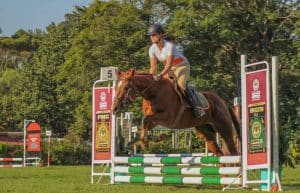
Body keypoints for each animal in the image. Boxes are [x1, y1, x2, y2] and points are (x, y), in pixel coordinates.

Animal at [113, 68, 241, 155]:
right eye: (115, 87)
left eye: (125, 88)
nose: (114, 108)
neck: (153, 93)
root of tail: (222, 101)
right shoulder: (155, 120)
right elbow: (145, 124)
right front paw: (152, 140)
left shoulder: (167, 117)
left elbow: (145, 120)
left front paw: (146, 142)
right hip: (206, 132)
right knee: (219, 152)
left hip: (224, 128)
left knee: (233, 151)